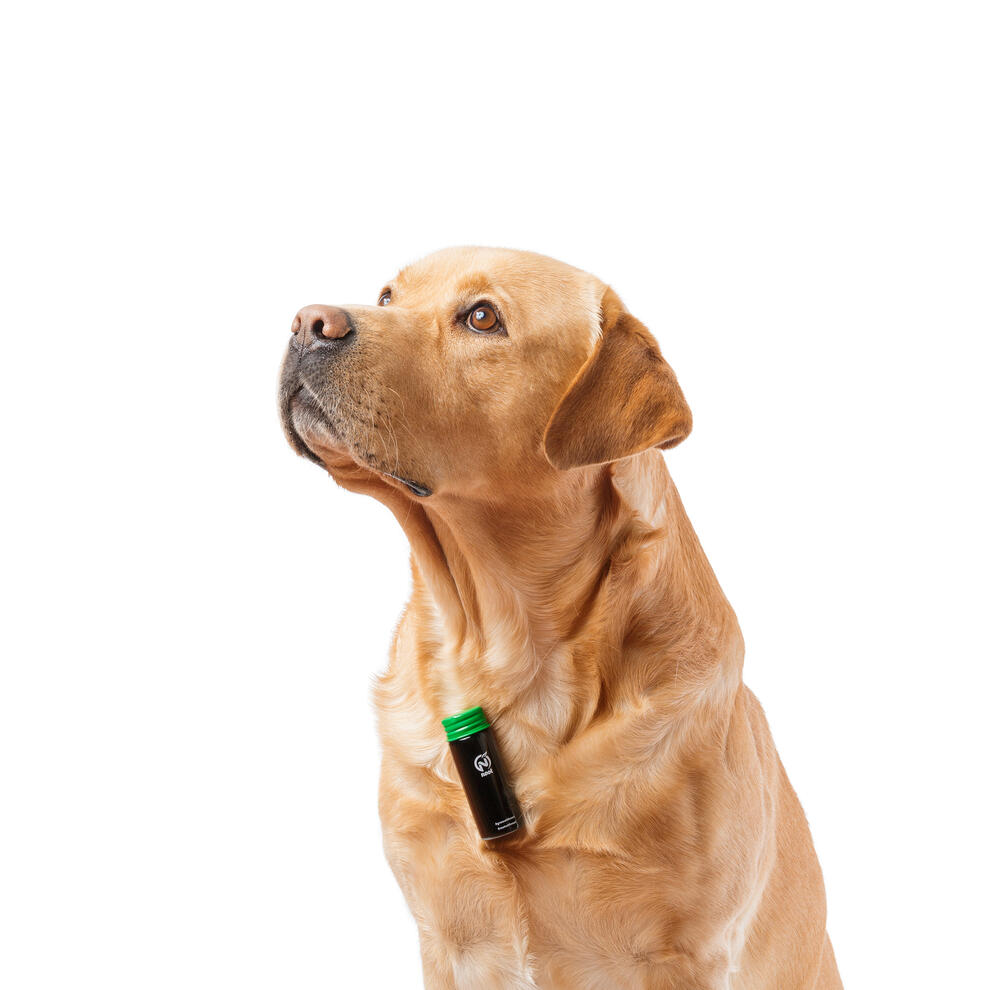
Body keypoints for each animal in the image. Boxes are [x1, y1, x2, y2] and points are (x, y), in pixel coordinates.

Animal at [280, 250, 844, 990]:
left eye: (482, 317)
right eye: (386, 295)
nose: (307, 322)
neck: (499, 652)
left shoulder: (689, 954)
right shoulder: (441, 934)